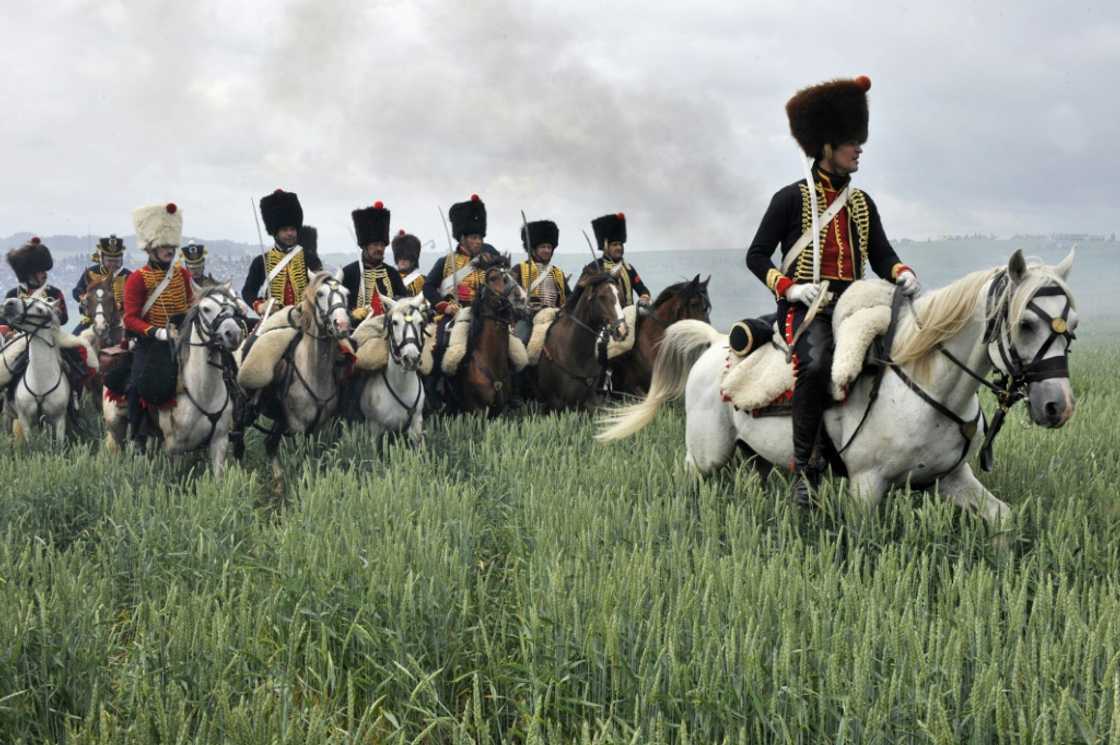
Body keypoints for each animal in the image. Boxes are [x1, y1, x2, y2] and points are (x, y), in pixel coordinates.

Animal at [1, 291, 81, 441]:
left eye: (40, 310)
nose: (9, 303)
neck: (40, 384)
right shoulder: (25, 420)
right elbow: (30, 444)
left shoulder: (59, 420)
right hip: (9, 415)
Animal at [103, 282, 245, 472]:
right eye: (206, 308)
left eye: (232, 307)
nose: (234, 334)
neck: (203, 390)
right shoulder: (174, 448)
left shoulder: (219, 442)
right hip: (115, 426)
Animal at [353, 293, 427, 443]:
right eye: (395, 322)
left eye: (421, 322)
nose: (411, 359)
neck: (401, 387)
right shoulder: (375, 430)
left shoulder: (416, 426)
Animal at [600, 250, 1079, 535]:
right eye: (1025, 324)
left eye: (1072, 327)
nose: (1057, 406)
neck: (924, 383)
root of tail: (716, 342)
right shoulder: (866, 486)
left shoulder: (952, 478)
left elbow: (1004, 521)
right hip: (706, 455)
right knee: (690, 477)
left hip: (755, 456)